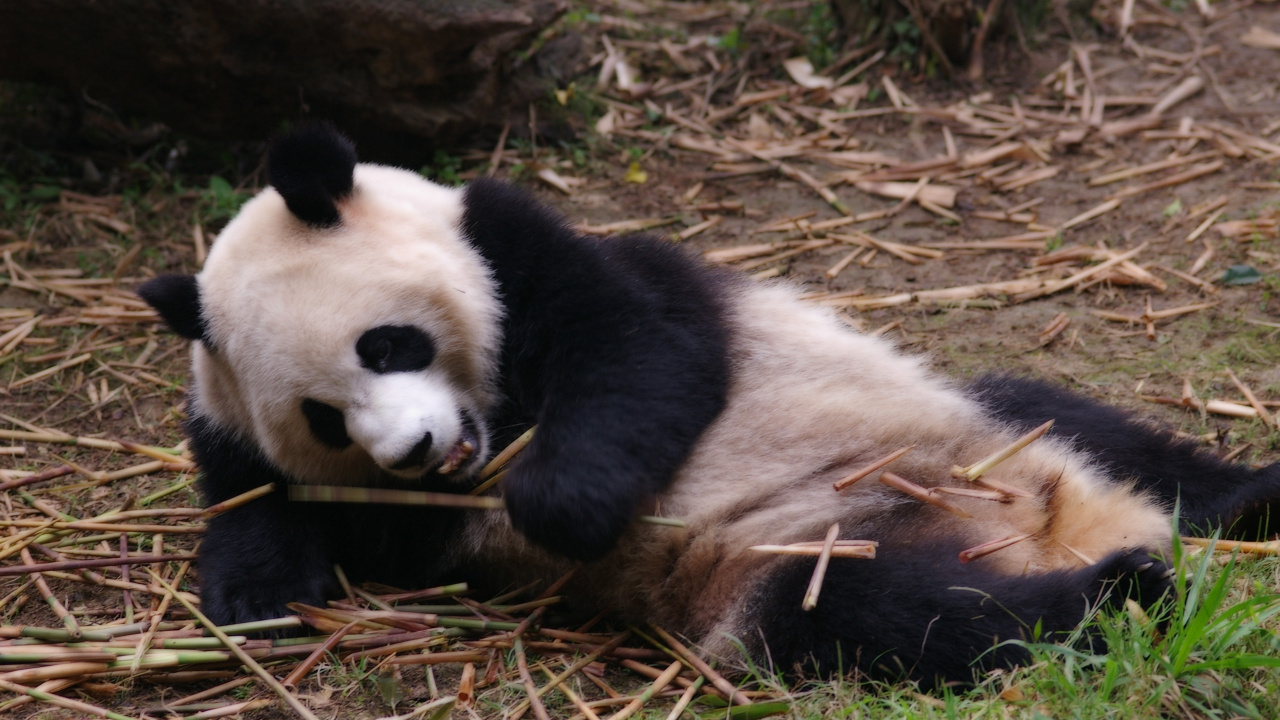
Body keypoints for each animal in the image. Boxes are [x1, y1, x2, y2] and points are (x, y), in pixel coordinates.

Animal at [138, 124, 1280, 685]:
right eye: (325, 417)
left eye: (387, 344)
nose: (417, 450)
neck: (494, 425)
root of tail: (1055, 521)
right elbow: (259, 498)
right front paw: (253, 593)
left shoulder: (531, 251)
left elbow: (644, 357)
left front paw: (553, 500)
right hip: (799, 553)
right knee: (897, 620)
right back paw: (1123, 590)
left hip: (972, 420)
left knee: (1101, 434)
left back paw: (1229, 512)